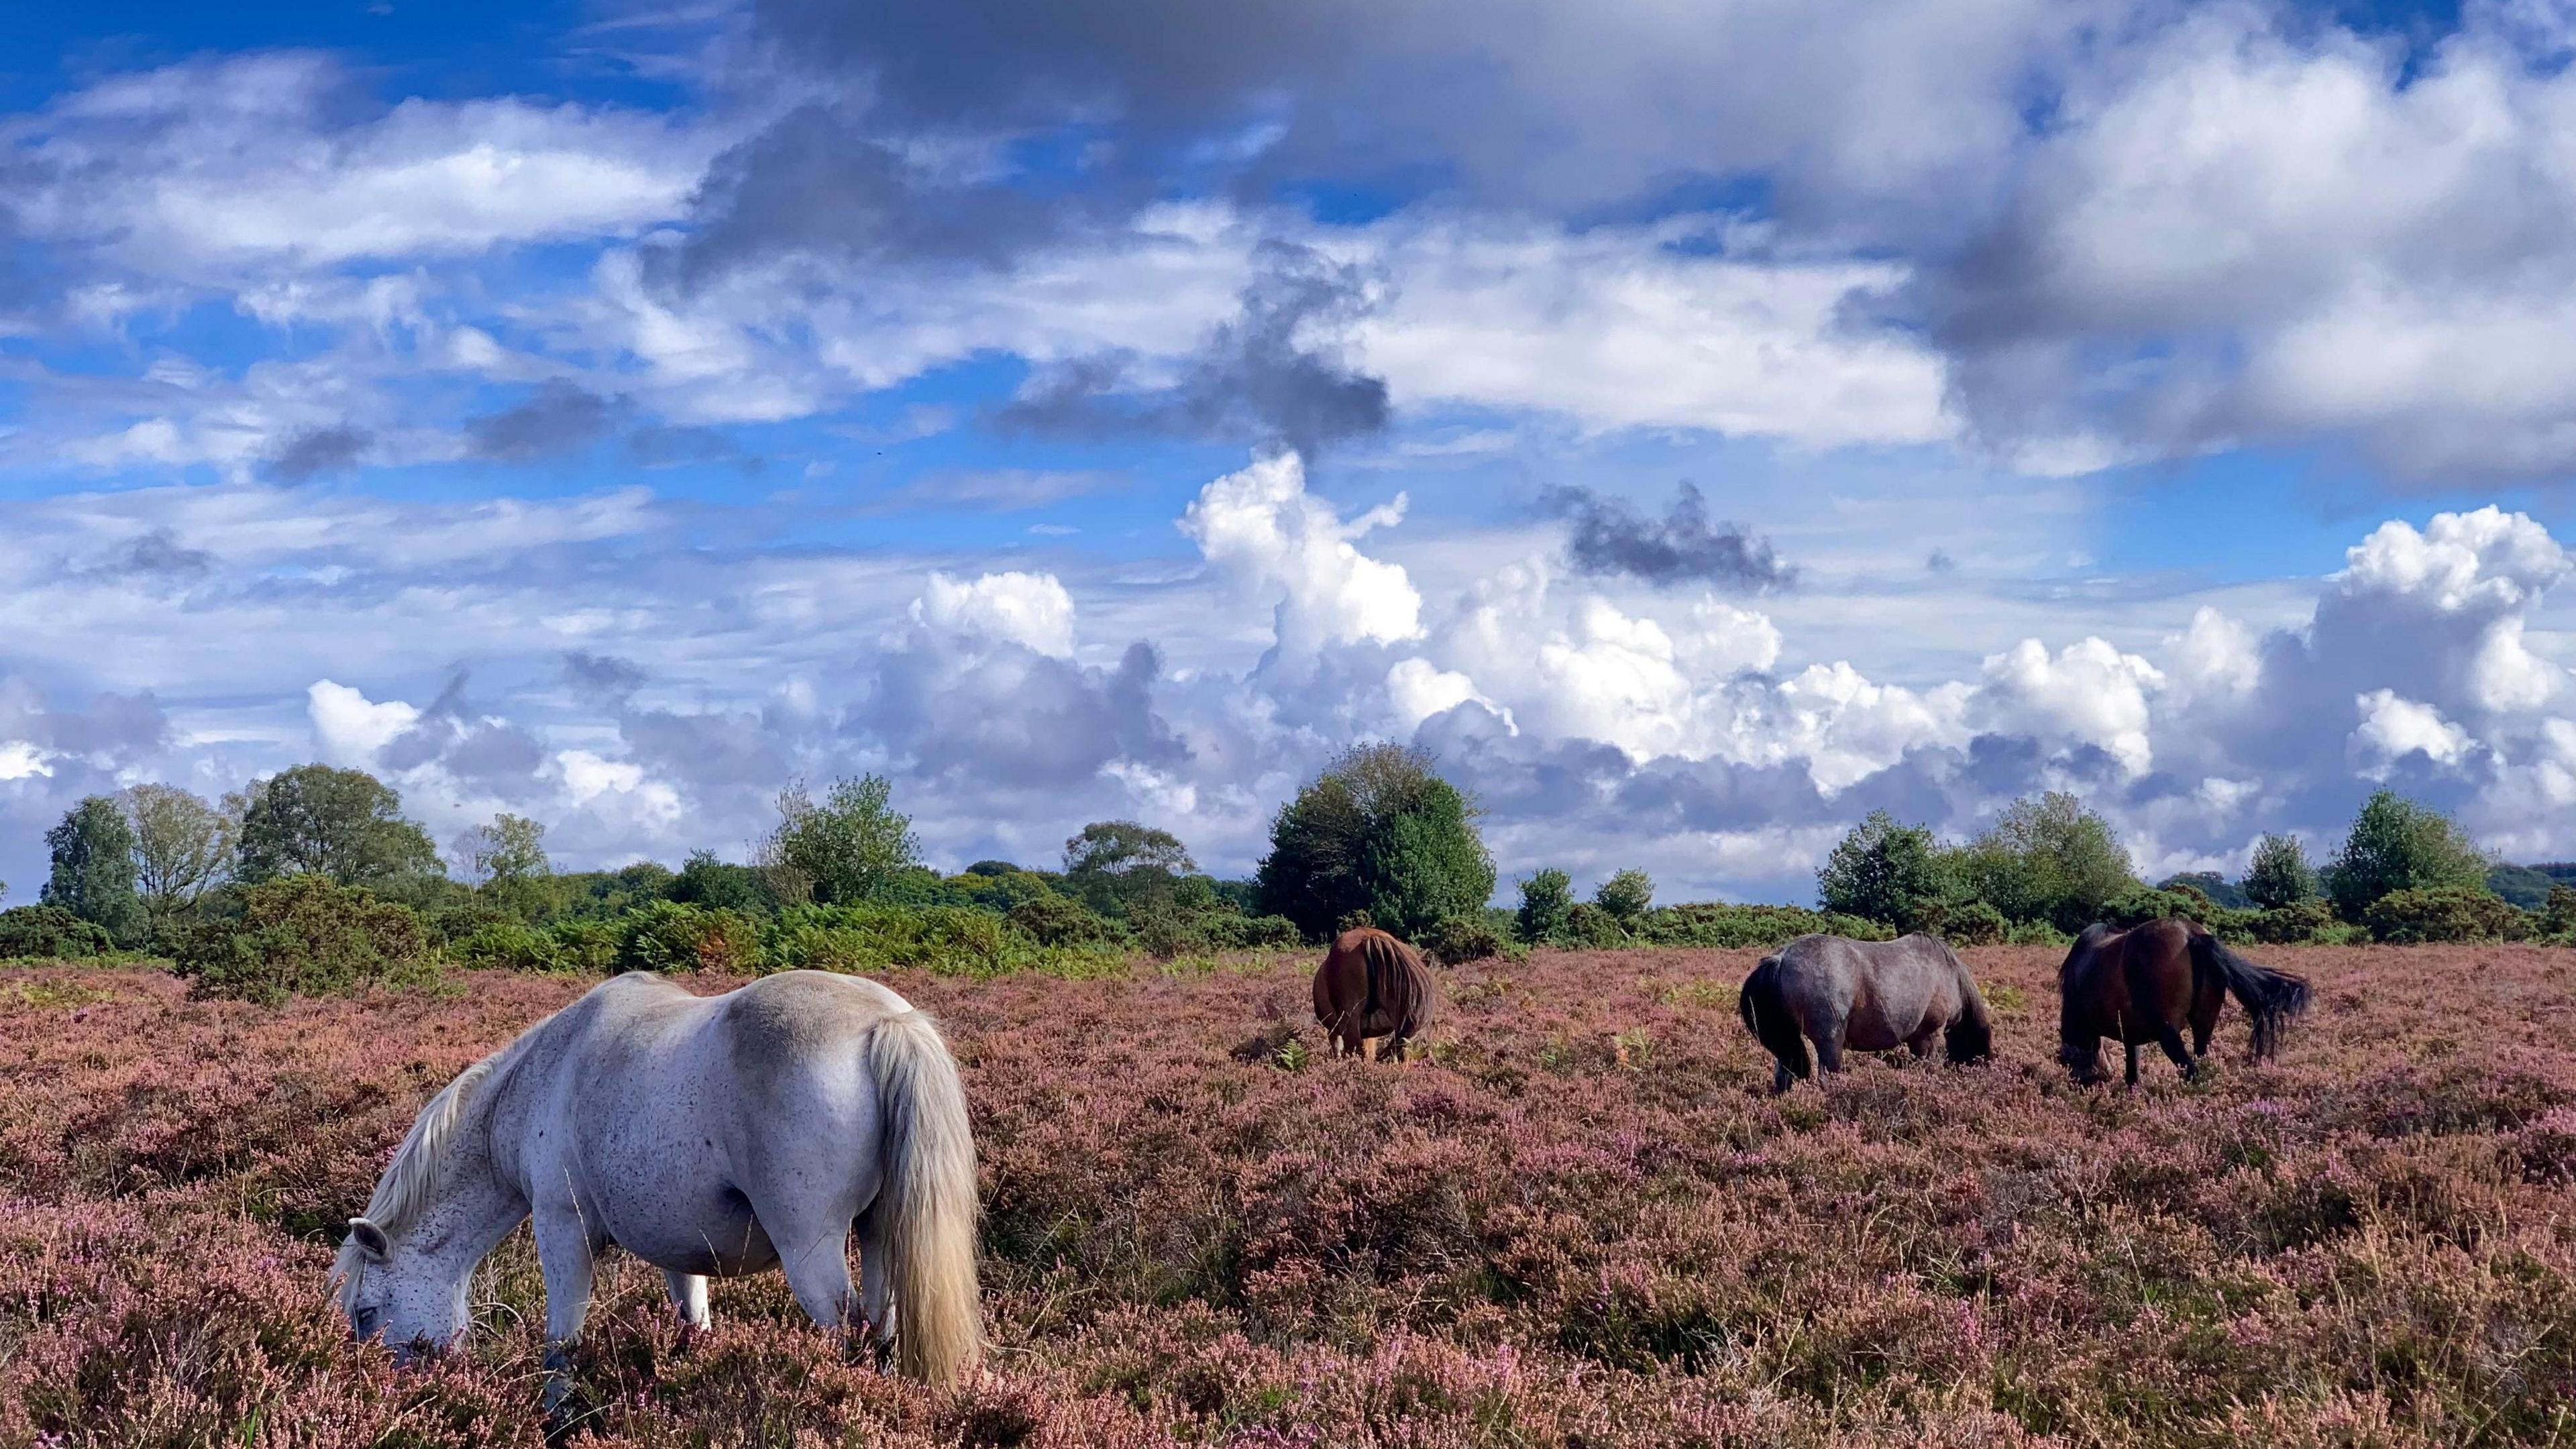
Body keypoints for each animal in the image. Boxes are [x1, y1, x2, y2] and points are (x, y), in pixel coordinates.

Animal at [1741, 928, 1998, 1087]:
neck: (1950, 973)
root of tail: (1781, 958)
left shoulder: (1918, 1038)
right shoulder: (1931, 1034)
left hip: (1788, 1043)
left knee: (1784, 1076)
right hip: (1830, 1040)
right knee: (1827, 1076)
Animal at [2050, 918, 2318, 1077]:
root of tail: (2192, 935)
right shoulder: (2131, 1035)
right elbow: (2133, 1072)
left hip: (2168, 1033)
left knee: (2191, 1070)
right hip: (2204, 1027)